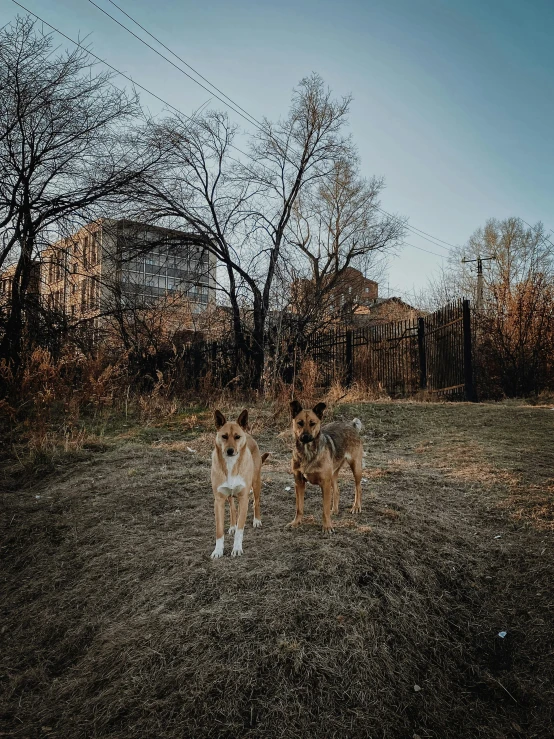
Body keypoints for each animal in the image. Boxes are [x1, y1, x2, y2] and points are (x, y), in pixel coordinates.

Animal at [209, 410, 268, 560]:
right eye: (224, 436)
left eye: (237, 437)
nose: (230, 451)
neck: (231, 465)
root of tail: (249, 434)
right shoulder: (218, 500)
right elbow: (219, 530)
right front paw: (218, 551)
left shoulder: (243, 499)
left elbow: (240, 530)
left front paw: (236, 549)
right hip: (229, 496)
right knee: (232, 509)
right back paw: (232, 526)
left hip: (256, 483)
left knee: (256, 502)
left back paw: (257, 520)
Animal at [288, 402, 362, 536]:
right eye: (300, 422)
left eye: (312, 423)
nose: (305, 437)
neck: (307, 452)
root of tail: (351, 425)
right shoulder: (299, 483)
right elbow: (299, 508)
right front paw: (296, 522)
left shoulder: (325, 484)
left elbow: (325, 509)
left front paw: (327, 526)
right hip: (333, 474)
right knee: (337, 490)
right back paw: (335, 510)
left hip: (355, 467)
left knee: (358, 487)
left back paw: (356, 507)